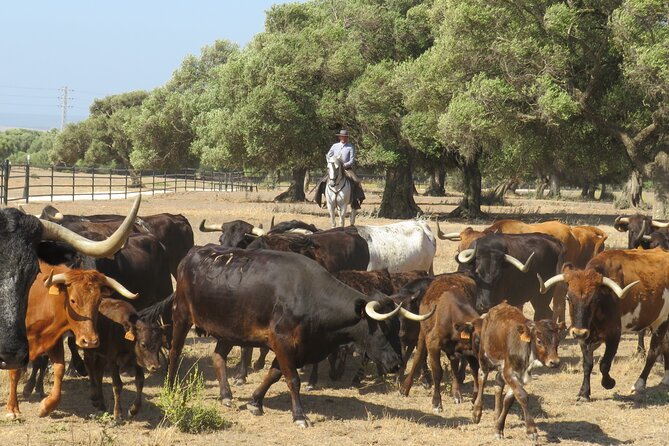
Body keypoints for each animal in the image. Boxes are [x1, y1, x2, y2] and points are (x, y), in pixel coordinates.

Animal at [5, 262, 138, 419]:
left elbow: (59, 369)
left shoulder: (54, 341)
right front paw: (12, 408)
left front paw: (46, 406)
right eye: (73, 300)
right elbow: (15, 372)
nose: (90, 341)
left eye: (98, 301)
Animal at [168, 245, 432, 427]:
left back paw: (225, 395)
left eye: (396, 327)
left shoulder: (296, 348)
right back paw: (171, 387)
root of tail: (192, 254)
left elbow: (274, 374)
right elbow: (292, 379)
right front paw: (299, 416)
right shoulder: (283, 342)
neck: (309, 296)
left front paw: (255, 402)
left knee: (218, 357)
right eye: (382, 328)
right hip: (181, 316)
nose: (396, 364)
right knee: (175, 352)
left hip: (230, 330)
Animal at [400, 273, 482, 412]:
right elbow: (437, 372)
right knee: (418, 357)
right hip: (423, 334)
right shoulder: (433, 344)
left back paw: (456, 393)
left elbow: (472, 369)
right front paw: (437, 403)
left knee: (455, 366)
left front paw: (473, 398)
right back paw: (405, 388)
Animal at [471, 303, 564, 441]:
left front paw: (498, 428)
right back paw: (477, 412)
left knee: (498, 382)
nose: (555, 362)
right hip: (484, 355)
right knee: (482, 376)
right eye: (539, 340)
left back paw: (496, 415)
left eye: (558, 340)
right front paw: (531, 430)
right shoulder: (509, 372)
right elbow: (522, 395)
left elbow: (509, 400)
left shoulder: (518, 375)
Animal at [537, 248, 669, 401]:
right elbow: (587, 364)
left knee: (653, 352)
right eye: (568, 298)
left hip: (662, 321)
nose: (578, 332)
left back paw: (639, 384)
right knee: (665, 345)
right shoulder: (584, 338)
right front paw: (584, 392)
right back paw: (666, 377)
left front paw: (609, 383)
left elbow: (604, 364)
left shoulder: (614, 335)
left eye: (594, 299)